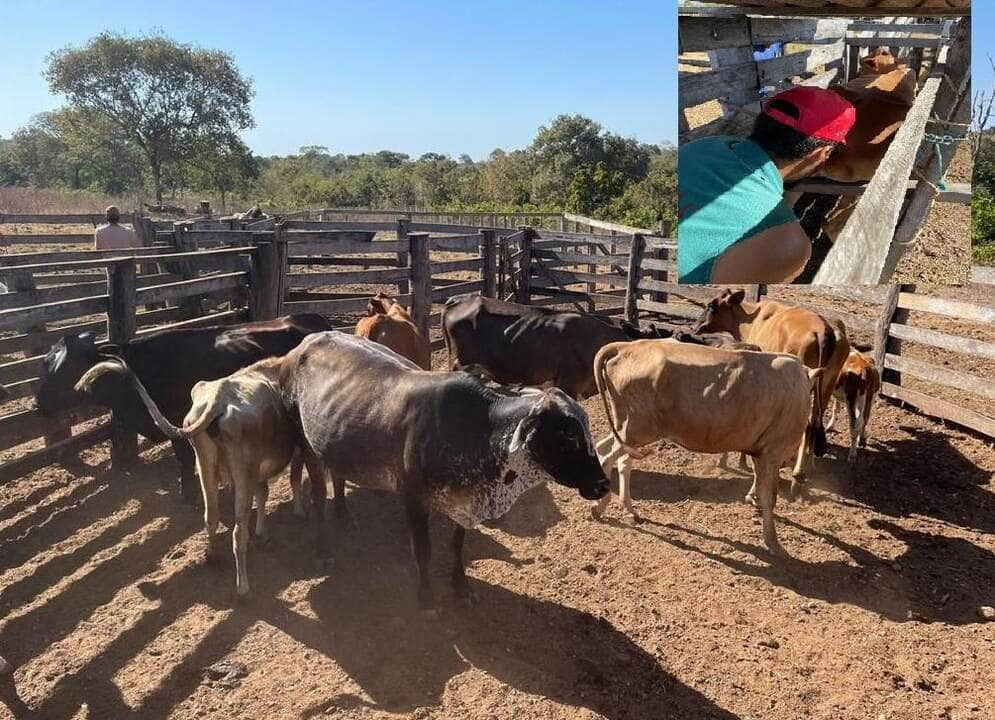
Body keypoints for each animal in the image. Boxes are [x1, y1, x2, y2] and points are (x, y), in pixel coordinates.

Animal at [35, 312, 330, 504]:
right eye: (47, 363)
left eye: (67, 368)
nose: (38, 404)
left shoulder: (179, 423)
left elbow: (184, 459)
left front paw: (188, 494)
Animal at [75, 354, 304, 596]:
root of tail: (219, 397)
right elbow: (293, 479)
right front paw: (298, 512)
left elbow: (264, 493)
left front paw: (263, 533)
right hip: (243, 472)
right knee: (238, 531)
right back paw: (242, 586)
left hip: (205, 466)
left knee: (211, 516)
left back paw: (212, 557)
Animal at [596, 340, 820, 556]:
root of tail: (627, 346)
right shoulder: (773, 451)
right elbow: (769, 496)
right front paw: (773, 543)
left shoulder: (760, 450)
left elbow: (758, 481)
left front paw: (753, 499)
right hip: (638, 429)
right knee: (607, 456)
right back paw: (599, 506)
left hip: (627, 430)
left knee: (610, 453)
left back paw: (628, 508)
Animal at [692, 286, 848, 484]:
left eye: (711, 306)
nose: (694, 327)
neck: (751, 321)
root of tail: (823, 331)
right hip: (826, 384)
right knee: (814, 422)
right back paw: (808, 465)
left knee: (807, 424)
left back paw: (797, 471)